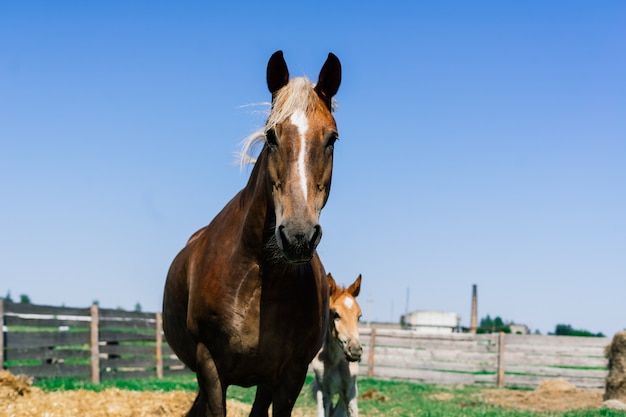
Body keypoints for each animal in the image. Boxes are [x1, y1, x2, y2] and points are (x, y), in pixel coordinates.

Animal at [163, 52, 342, 416]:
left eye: (331, 138)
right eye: (271, 136)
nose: (299, 236)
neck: (259, 280)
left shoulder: (289, 376)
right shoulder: (210, 368)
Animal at [310, 272, 360, 416]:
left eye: (359, 316)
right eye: (336, 314)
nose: (355, 351)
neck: (335, 361)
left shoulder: (350, 392)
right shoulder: (324, 392)